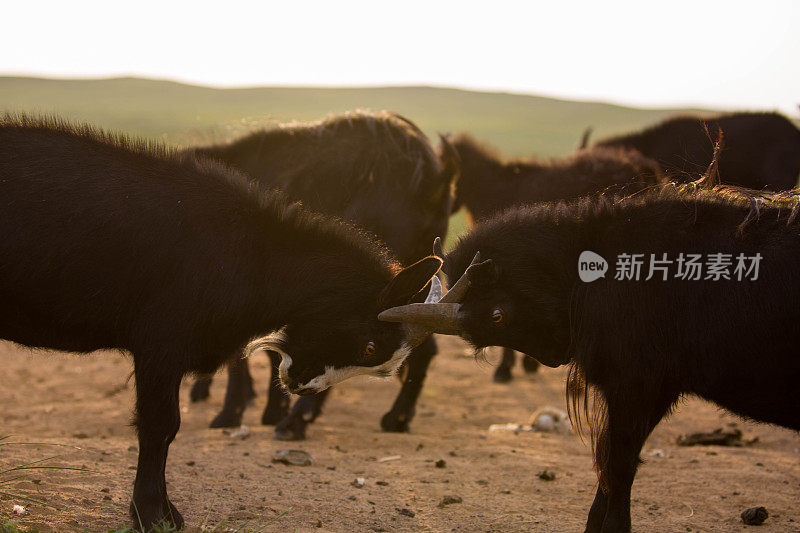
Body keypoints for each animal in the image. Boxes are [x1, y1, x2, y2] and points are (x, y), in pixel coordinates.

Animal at [380, 174, 800, 528]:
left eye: (497, 314)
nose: (553, 356)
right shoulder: (653, 389)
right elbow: (615, 462)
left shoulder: (634, 384)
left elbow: (619, 464)